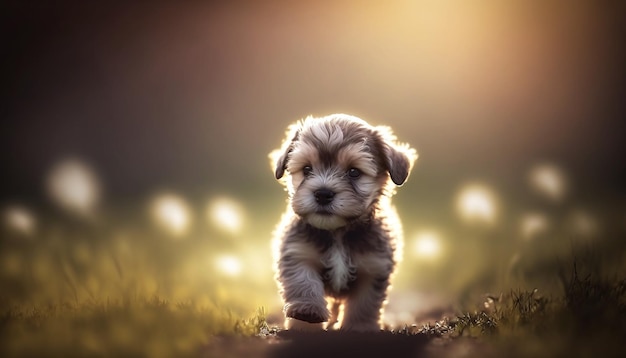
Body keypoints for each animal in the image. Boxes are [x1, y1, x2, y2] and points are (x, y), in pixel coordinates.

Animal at [266, 113, 414, 332]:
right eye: (307, 169)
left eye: (354, 172)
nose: (323, 194)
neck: (337, 232)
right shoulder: (297, 252)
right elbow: (303, 281)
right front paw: (306, 312)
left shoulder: (373, 267)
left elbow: (365, 303)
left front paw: (359, 327)